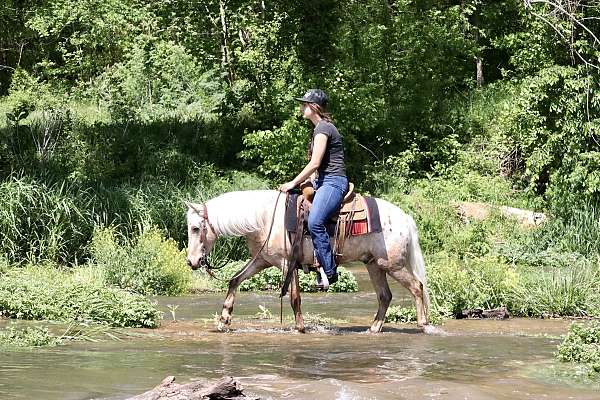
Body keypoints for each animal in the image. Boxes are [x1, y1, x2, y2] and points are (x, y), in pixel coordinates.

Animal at [185, 189, 428, 332]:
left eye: (196, 228)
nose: (191, 262)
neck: (265, 219)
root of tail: (405, 218)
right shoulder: (262, 260)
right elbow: (235, 280)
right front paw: (224, 320)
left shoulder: (286, 263)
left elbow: (294, 297)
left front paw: (300, 327)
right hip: (374, 265)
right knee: (385, 296)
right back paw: (374, 328)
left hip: (392, 265)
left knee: (417, 287)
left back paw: (423, 324)